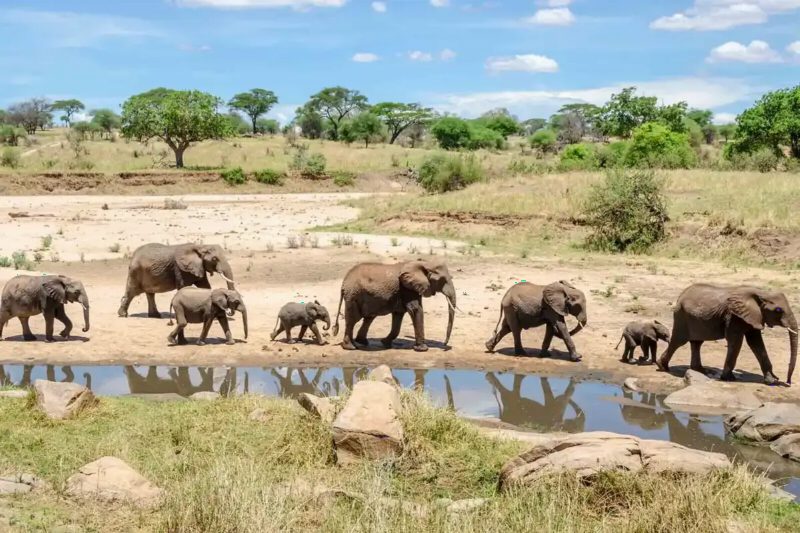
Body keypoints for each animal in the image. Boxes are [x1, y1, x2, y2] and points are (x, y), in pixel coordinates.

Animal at [656, 283, 798, 385]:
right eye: (778, 310)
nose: (788, 382)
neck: (761, 292)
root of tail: (680, 295)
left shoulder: (753, 316)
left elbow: (756, 343)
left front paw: (772, 381)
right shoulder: (734, 316)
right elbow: (736, 341)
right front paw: (729, 379)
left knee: (697, 343)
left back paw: (701, 370)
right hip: (681, 316)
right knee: (678, 341)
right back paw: (662, 366)